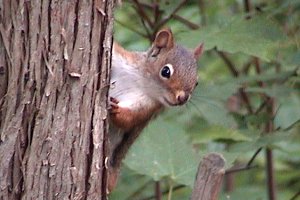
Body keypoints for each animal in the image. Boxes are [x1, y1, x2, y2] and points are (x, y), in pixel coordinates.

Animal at [106, 27, 203, 191]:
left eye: (196, 82)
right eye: (166, 71)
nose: (183, 98)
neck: (142, 81)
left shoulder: (147, 107)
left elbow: (129, 120)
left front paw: (116, 110)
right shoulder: (123, 60)